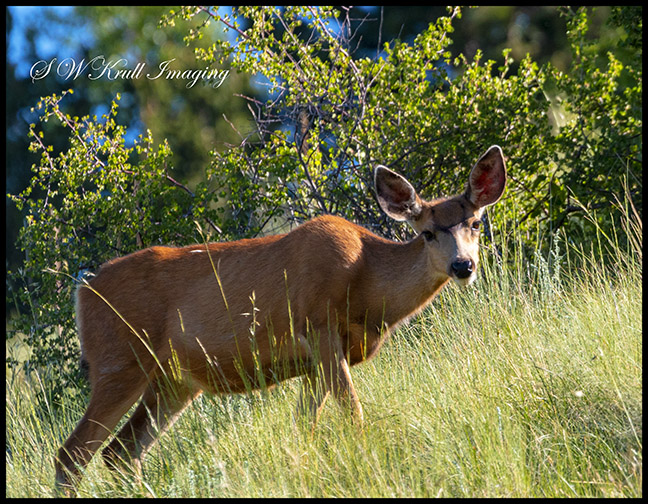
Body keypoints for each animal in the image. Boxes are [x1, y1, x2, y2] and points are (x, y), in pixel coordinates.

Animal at [55, 145, 506, 493]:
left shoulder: (315, 361)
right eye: (427, 232)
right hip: (119, 360)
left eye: (476, 223)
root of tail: (82, 289)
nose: (463, 265)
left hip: (174, 381)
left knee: (120, 452)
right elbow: (353, 416)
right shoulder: (318, 327)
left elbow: (302, 430)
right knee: (72, 453)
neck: (367, 286)